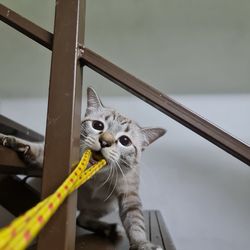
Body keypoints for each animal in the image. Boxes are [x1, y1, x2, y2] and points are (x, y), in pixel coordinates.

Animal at [1, 88, 168, 250]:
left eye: (125, 141)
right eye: (98, 126)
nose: (105, 141)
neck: (96, 175)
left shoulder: (129, 194)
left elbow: (136, 223)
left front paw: (142, 243)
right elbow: (37, 149)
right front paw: (14, 141)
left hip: (107, 206)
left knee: (82, 218)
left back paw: (108, 229)